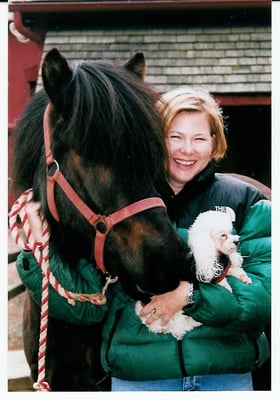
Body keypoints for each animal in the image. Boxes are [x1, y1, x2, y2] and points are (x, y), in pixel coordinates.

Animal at [136, 208, 252, 340]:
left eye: (231, 232)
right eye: (223, 235)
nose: (237, 241)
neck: (212, 252)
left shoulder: (223, 269)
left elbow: (236, 270)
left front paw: (245, 278)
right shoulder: (214, 275)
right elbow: (224, 283)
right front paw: (229, 289)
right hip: (174, 314)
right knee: (180, 327)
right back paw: (196, 321)